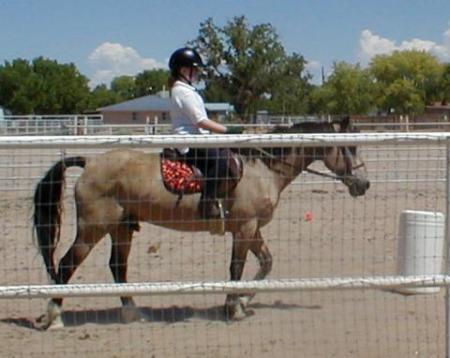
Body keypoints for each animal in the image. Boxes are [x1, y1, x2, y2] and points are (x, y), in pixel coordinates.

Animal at [32, 116, 370, 328]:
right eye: (350, 147)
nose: (364, 184)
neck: (263, 168)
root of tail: (90, 162)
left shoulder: (253, 229)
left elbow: (266, 264)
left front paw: (243, 301)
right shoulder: (245, 228)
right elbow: (236, 269)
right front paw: (233, 307)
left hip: (121, 228)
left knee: (117, 267)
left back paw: (131, 312)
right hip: (93, 229)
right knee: (67, 264)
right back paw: (54, 316)